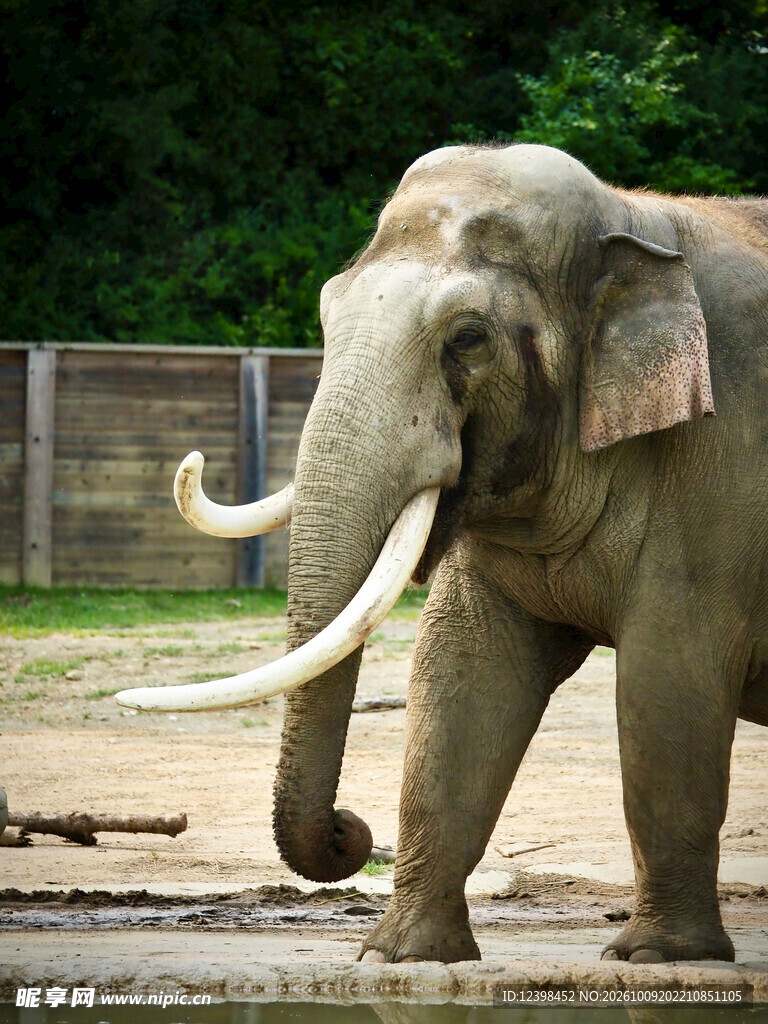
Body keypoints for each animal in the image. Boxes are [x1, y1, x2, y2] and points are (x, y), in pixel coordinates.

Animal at [117, 142, 768, 965]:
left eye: (468, 338)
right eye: (327, 313)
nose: (349, 830)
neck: (637, 218)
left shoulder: (721, 470)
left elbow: (669, 681)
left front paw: (659, 958)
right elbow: (460, 675)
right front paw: (401, 955)